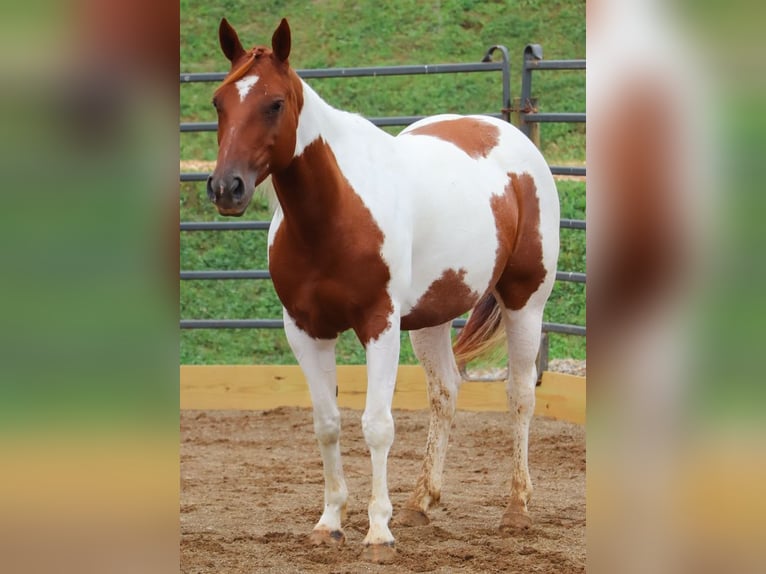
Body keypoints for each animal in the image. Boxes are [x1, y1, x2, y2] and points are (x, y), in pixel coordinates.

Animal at [207, 17, 560, 563]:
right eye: (219, 102)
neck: (333, 212)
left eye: (275, 103)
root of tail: (509, 133)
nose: (228, 188)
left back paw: (517, 509)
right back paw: (420, 502)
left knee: (519, 395)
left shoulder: (379, 324)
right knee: (446, 392)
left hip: (526, 300)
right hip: (432, 316)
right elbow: (327, 423)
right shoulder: (305, 330)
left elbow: (377, 425)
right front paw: (330, 523)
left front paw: (378, 532)